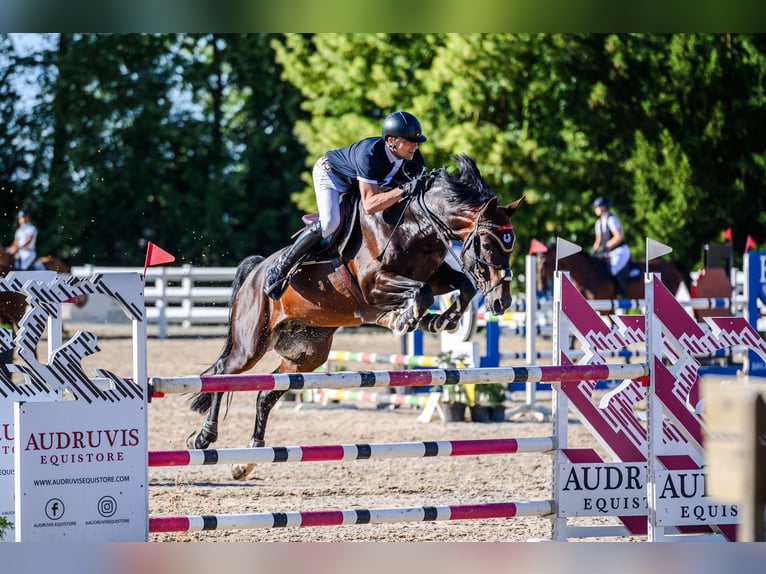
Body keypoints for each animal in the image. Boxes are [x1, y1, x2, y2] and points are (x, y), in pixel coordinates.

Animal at [190, 155, 528, 484]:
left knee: (265, 394)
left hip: (306, 355)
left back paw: (247, 459)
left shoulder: (434, 275)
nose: (502, 302)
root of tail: (257, 269)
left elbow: (463, 285)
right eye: (488, 244)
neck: (415, 225)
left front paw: (441, 320)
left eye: (509, 245)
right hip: (251, 344)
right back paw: (204, 437)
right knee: (223, 373)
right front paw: (404, 318)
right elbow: (421, 293)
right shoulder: (373, 284)